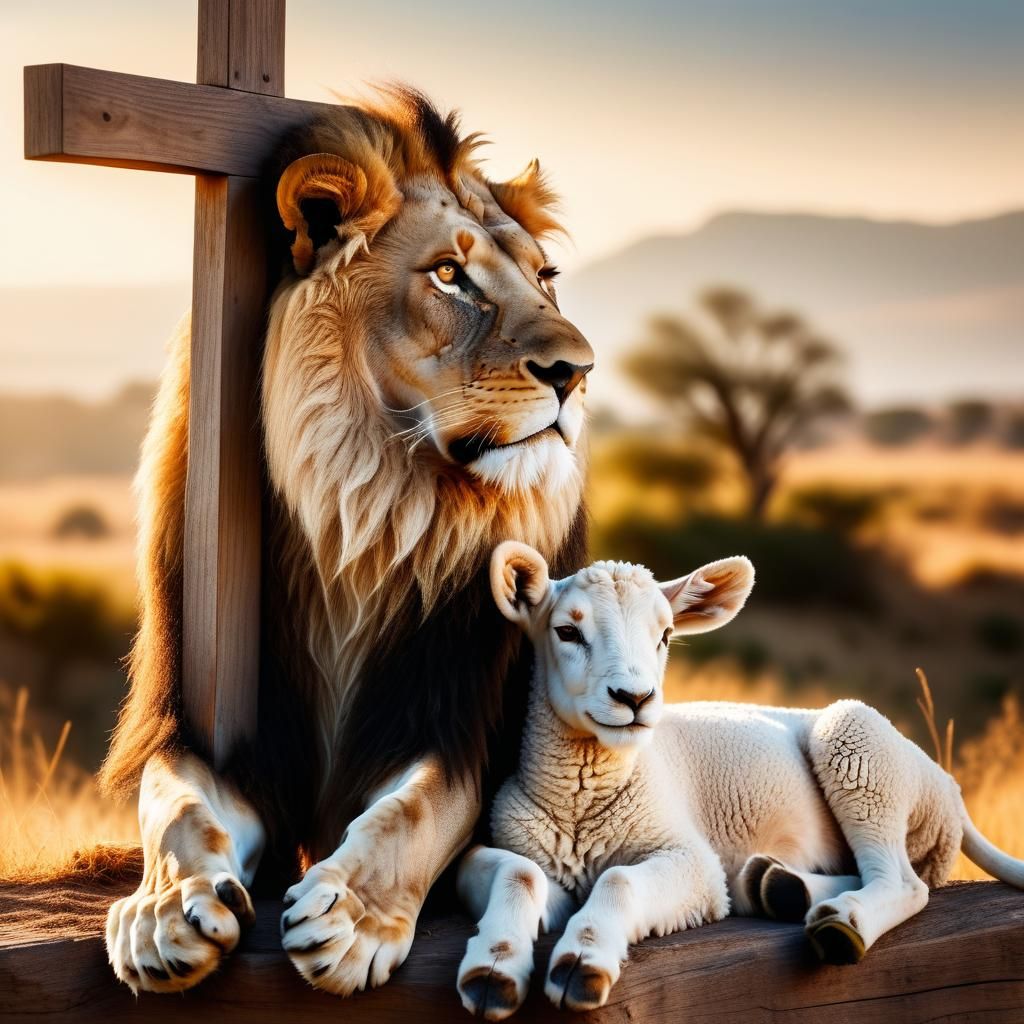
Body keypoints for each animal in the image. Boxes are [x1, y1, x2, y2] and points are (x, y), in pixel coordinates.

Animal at [99, 87, 593, 995]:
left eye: (545, 277)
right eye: (449, 275)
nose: (577, 371)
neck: (370, 512)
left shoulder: (451, 721)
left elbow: (418, 807)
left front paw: (351, 919)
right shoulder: (194, 721)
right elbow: (176, 805)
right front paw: (165, 910)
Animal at [455, 541, 1024, 1019]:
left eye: (664, 637)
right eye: (567, 632)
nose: (634, 699)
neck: (581, 803)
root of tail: (947, 786)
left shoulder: (692, 861)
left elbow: (618, 879)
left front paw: (581, 965)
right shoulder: (518, 849)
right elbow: (521, 874)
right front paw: (492, 973)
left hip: (858, 748)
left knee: (903, 881)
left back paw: (840, 921)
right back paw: (777, 887)